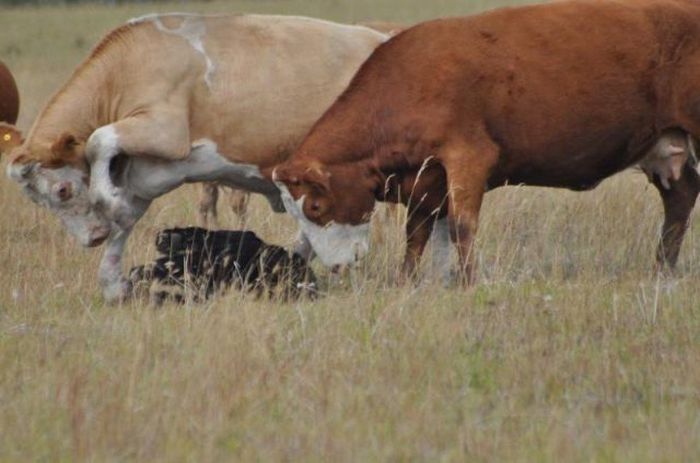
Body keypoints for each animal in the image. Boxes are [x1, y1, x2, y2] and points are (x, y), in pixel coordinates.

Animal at [6, 12, 388, 302]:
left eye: (62, 190)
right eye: (38, 200)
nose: (92, 238)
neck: (127, 70)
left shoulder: (166, 132)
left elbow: (99, 140)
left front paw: (107, 201)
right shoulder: (142, 176)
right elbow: (124, 224)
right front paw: (115, 285)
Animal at [270, 0, 700, 284]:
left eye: (316, 205)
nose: (336, 266)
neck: (410, 79)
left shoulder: (467, 158)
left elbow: (461, 226)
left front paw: (467, 280)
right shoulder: (424, 180)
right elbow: (416, 233)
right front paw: (406, 279)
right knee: (680, 197)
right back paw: (662, 270)